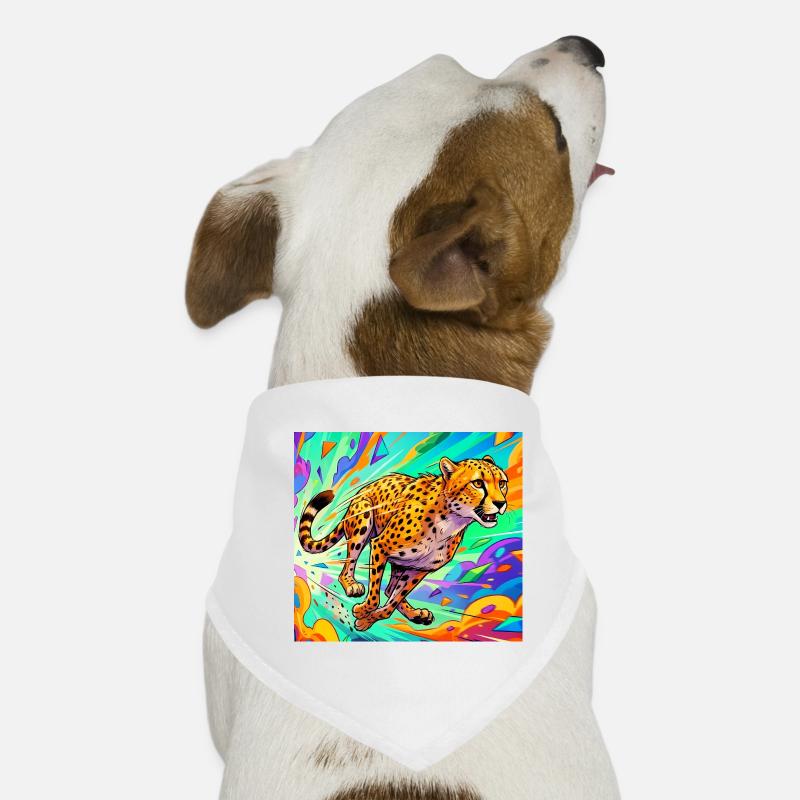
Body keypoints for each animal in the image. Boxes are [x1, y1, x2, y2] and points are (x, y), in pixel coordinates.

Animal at [298, 454, 509, 632]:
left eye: (502, 483)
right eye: (478, 483)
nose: (501, 503)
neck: (451, 521)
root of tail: (362, 490)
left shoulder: (419, 568)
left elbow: (394, 599)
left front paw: (369, 618)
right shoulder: (379, 546)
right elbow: (376, 595)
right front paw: (364, 611)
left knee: (390, 589)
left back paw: (416, 613)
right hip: (363, 520)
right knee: (348, 568)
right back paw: (352, 584)